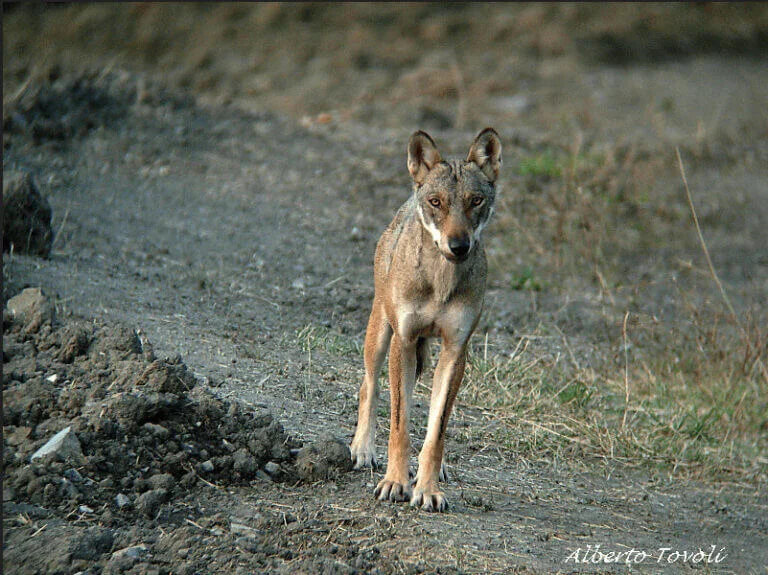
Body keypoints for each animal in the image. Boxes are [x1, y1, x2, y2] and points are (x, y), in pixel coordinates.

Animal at [350, 127, 502, 512]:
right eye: (436, 202)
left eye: (475, 201)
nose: (458, 245)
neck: (440, 282)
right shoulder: (403, 342)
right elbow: (400, 426)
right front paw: (394, 483)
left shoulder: (455, 351)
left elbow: (437, 432)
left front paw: (428, 488)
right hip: (380, 338)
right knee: (368, 387)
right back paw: (362, 449)